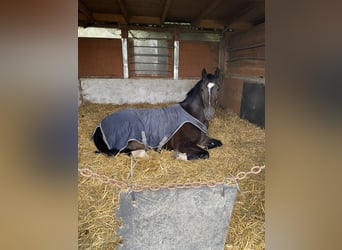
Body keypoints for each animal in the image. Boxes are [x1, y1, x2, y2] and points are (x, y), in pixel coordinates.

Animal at [92, 67, 223, 159]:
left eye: (218, 88)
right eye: (202, 89)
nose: (209, 113)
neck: (191, 115)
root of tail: (100, 126)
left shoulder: (202, 140)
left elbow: (217, 143)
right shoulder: (183, 145)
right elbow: (205, 153)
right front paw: (183, 156)